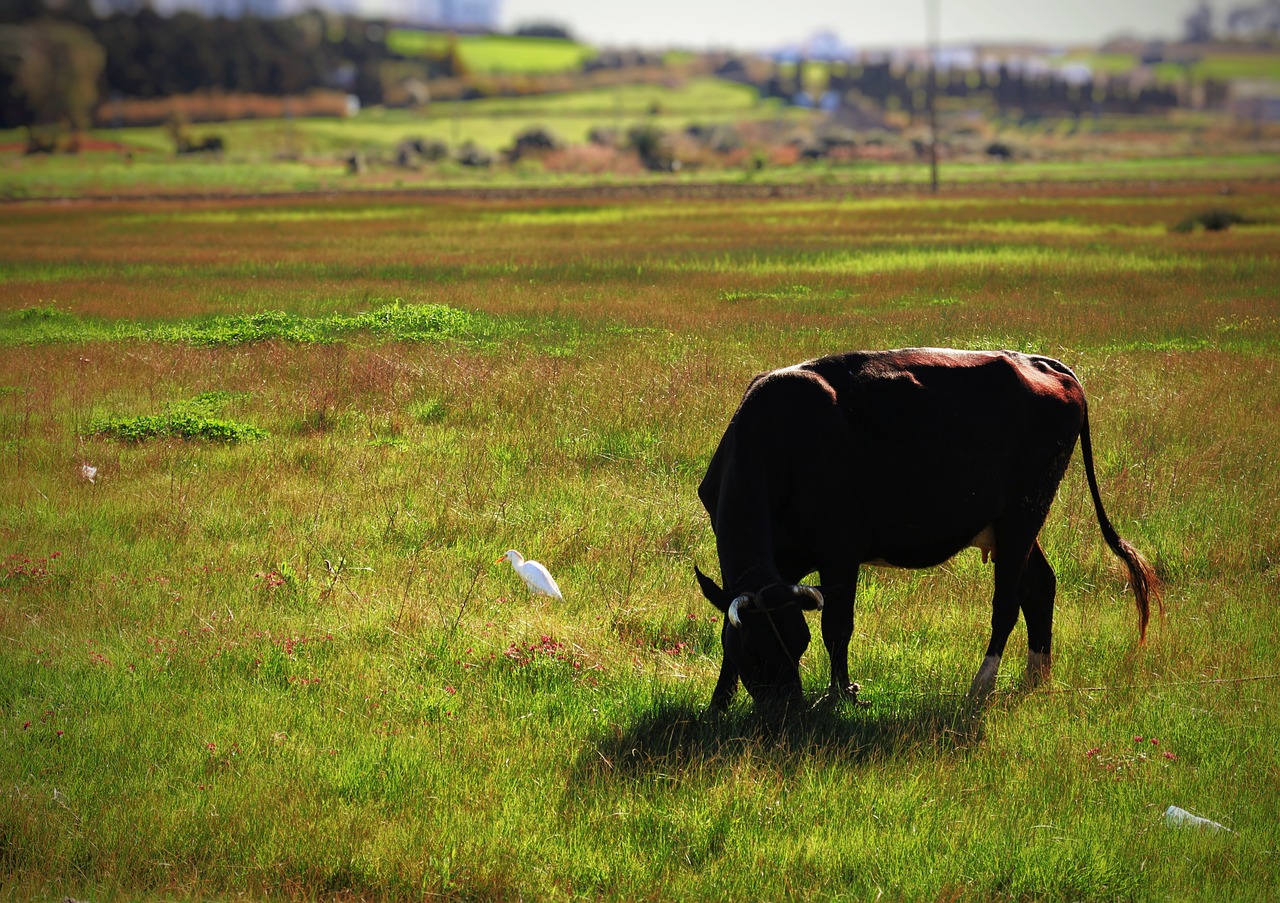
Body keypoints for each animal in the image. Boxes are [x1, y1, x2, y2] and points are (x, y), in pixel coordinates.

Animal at [696, 345, 1167, 712]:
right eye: (754, 656)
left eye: (797, 645)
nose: (787, 711)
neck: (778, 437)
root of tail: (1040, 362)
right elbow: (728, 628)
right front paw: (718, 703)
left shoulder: (840, 554)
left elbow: (837, 627)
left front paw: (840, 694)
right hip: (1014, 524)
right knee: (1040, 586)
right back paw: (1035, 678)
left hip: (1024, 513)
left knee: (1007, 604)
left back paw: (982, 687)